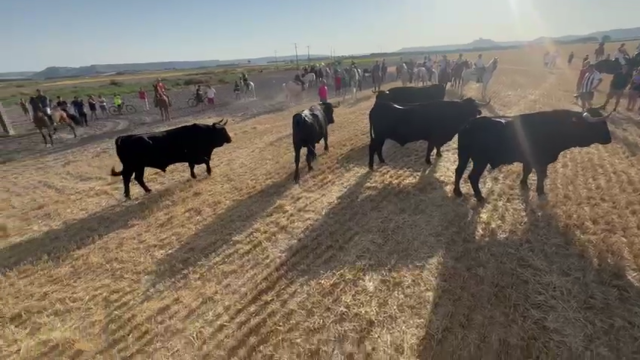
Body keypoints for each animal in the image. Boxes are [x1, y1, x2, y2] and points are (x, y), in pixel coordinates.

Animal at [452, 108, 612, 201]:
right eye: (599, 124)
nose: (609, 139)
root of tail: (469, 124)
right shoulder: (541, 162)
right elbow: (541, 176)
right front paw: (540, 191)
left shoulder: (528, 160)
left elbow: (527, 171)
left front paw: (524, 184)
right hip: (480, 161)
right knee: (472, 177)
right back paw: (479, 196)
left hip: (463, 156)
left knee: (458, 171)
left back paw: (457, 192)